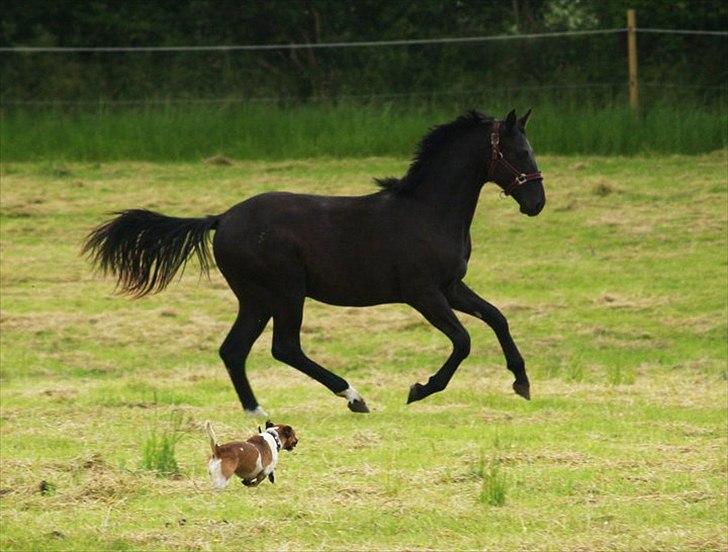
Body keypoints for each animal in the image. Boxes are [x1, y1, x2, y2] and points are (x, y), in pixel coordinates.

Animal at [82, 110, 544, 416]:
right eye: (521, 152)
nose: (536, 203)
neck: (427, 211)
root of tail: (222, 219)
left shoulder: (451, 286)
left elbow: (497, 317)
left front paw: (521, 381)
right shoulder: (423, 293)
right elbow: (463, 340)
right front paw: (420, 389)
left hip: (256, 299)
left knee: (234, 349)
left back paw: (259, 413)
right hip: (285, 292)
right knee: (284, 347)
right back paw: (353, 397)